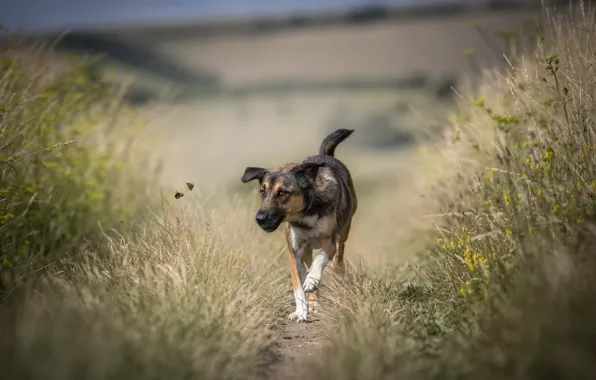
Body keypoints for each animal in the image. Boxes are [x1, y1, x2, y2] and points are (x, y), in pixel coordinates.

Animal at [240, 129, 356, 322]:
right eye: (262, 191)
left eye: (282, 193)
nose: (260, 218)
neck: (305, 215)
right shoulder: (294, 253)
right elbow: (298, 288)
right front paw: (301, 311)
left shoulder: (329, 241)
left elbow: (320, 258)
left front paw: (312, 279)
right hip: (307, 251)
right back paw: (314, 303)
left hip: (343, 234)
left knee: (338, 258)